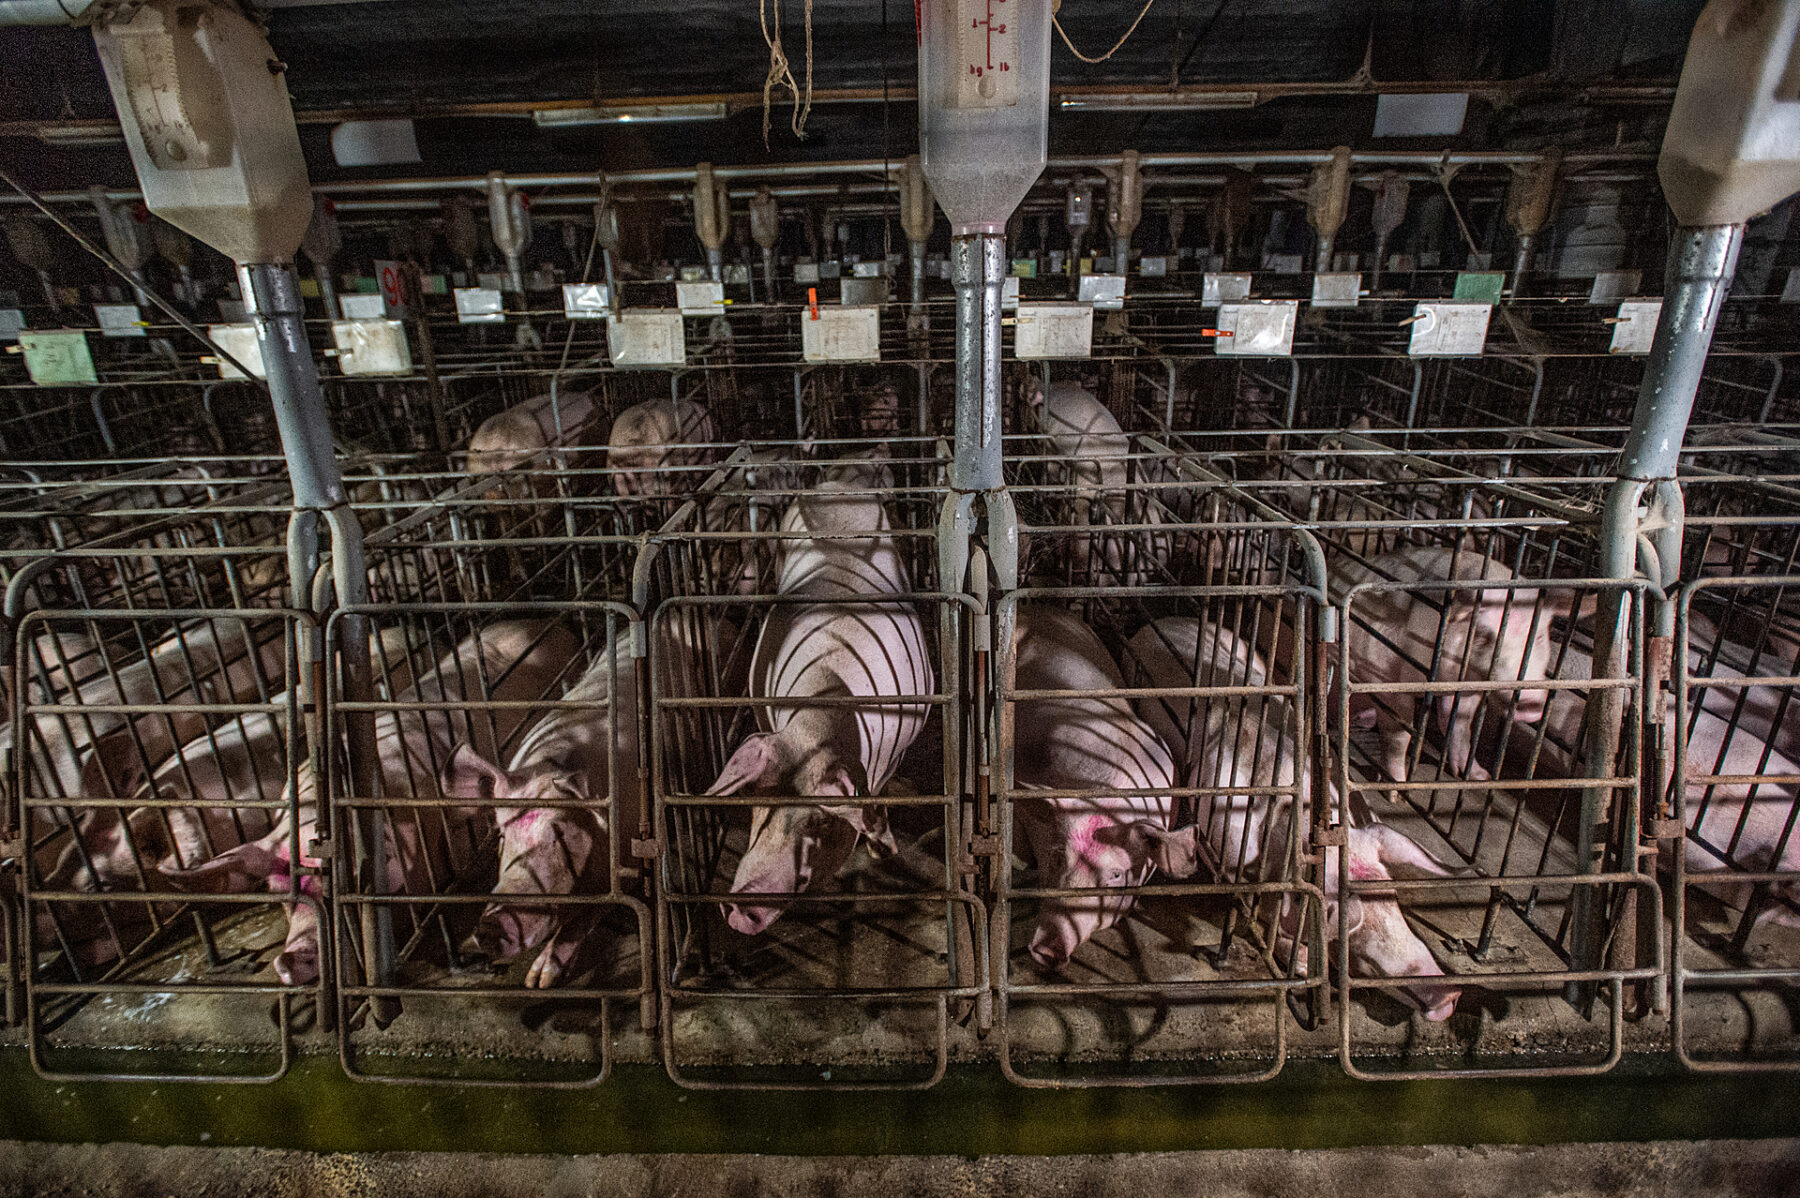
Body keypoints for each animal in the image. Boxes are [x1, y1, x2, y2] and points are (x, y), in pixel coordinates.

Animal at [1123, 615, 1461, 1014]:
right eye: (1355, 938)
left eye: (1391, 896)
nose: (1451, 994)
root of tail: (1160, 620)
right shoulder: (1226, 854)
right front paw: (1298, 963)